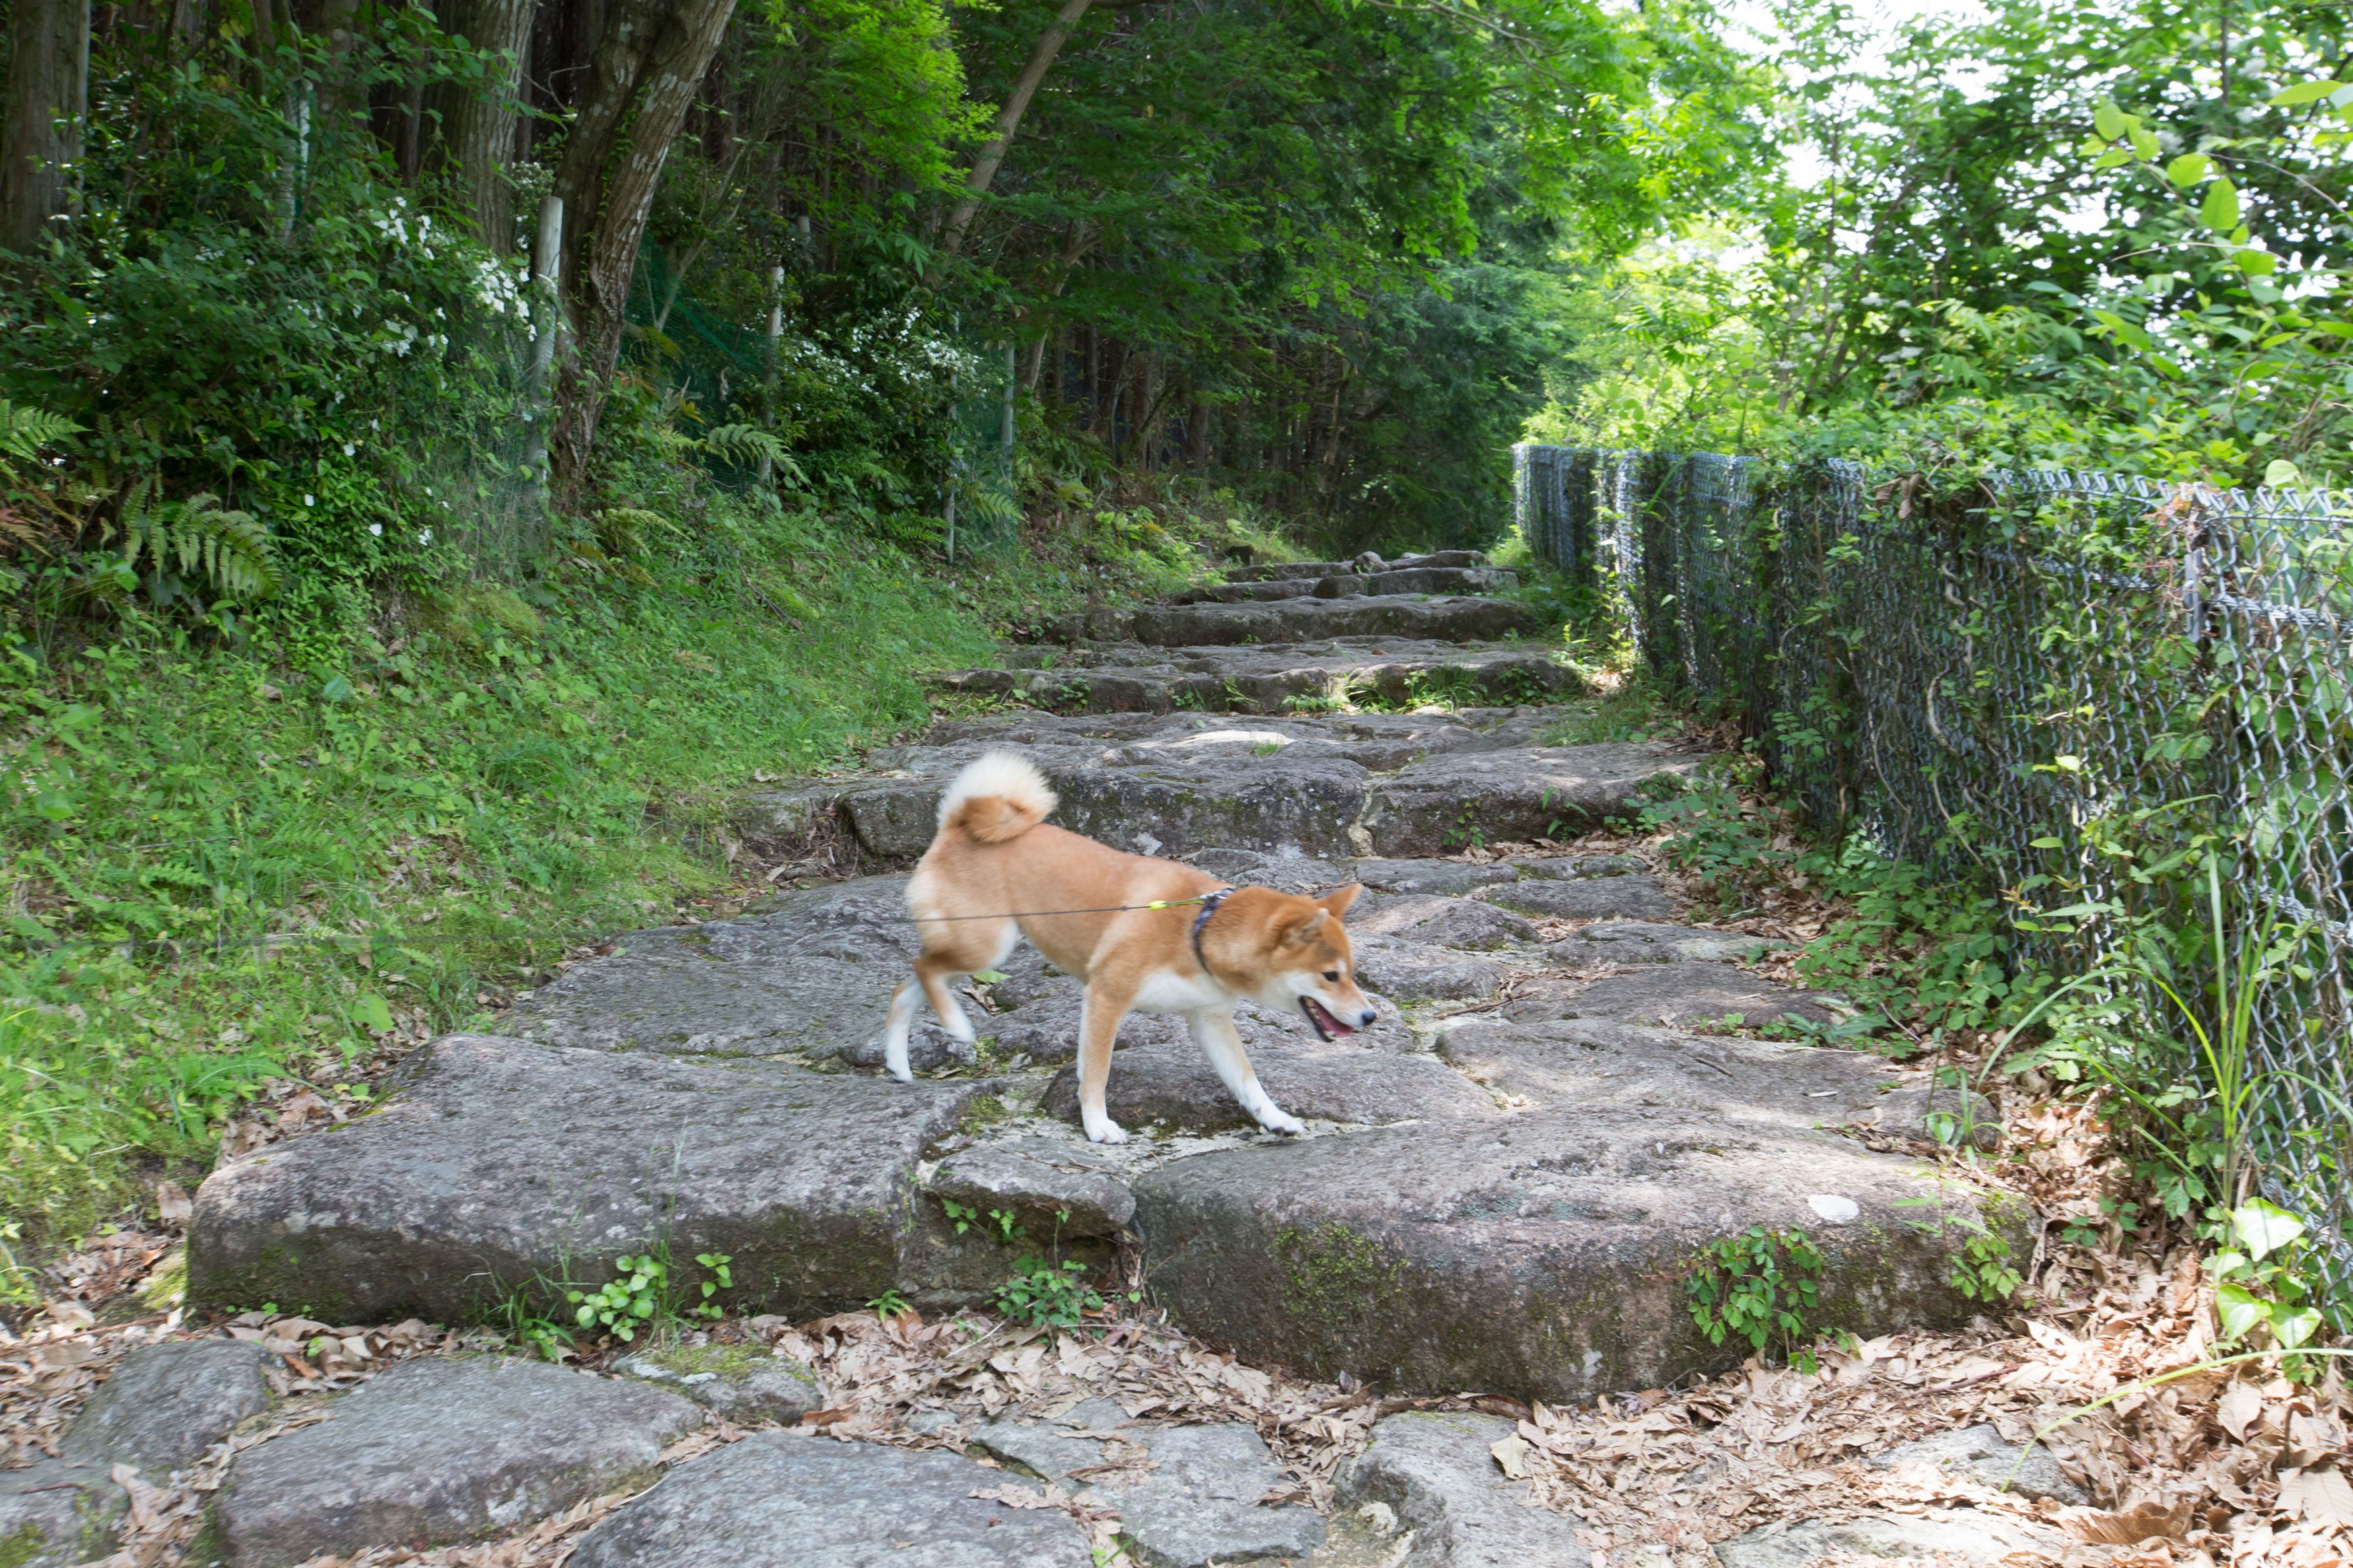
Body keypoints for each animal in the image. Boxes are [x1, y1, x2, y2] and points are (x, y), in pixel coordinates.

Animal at [885, 747, 1374, 1142]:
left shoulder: (1210, 1020)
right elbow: (1098, 1073)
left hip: (971, 951)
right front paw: (1098, 1126)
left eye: (1352, 973)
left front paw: (1275, 1118)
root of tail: (957, 826)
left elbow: (1246, 1079)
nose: (1370, 1016)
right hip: (987, 946)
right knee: (923, 970)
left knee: (906, 986)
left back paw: (899, 1064)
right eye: (1331, 976)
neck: (1198, 930)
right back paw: (956, 1026)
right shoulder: (1107, 996)